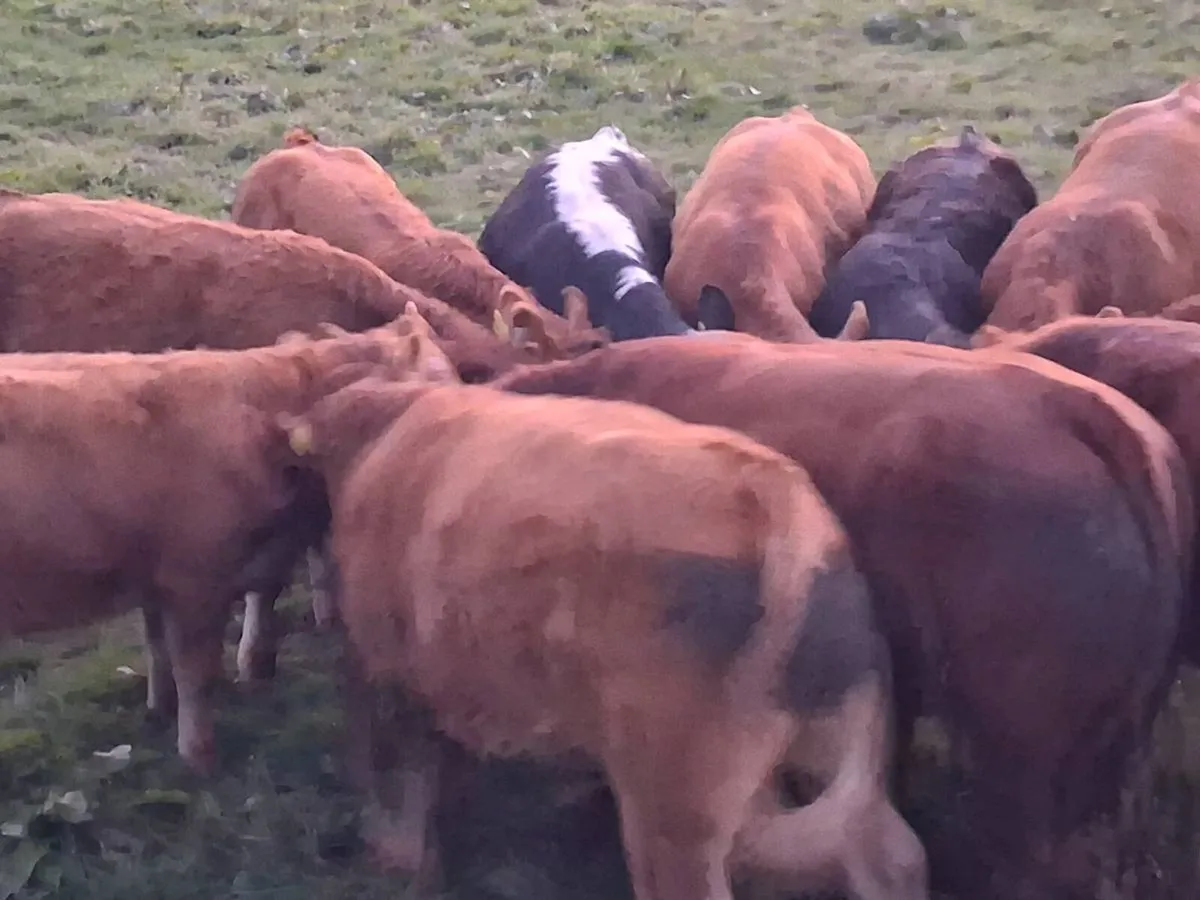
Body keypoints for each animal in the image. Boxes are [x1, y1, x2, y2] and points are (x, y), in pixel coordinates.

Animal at [0, 306, 457, 774]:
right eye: (439, 379)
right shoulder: (193, 577)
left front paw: (160, 708)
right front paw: (200, 756)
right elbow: (195, 670)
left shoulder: (157, 574)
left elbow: (158, 647)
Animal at [277, 378, 928, 900]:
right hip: (839, 744)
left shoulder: (388, 663)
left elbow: (404, 774)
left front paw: (398, 860)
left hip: (674, 797)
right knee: (894, 855)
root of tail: (784, 511)